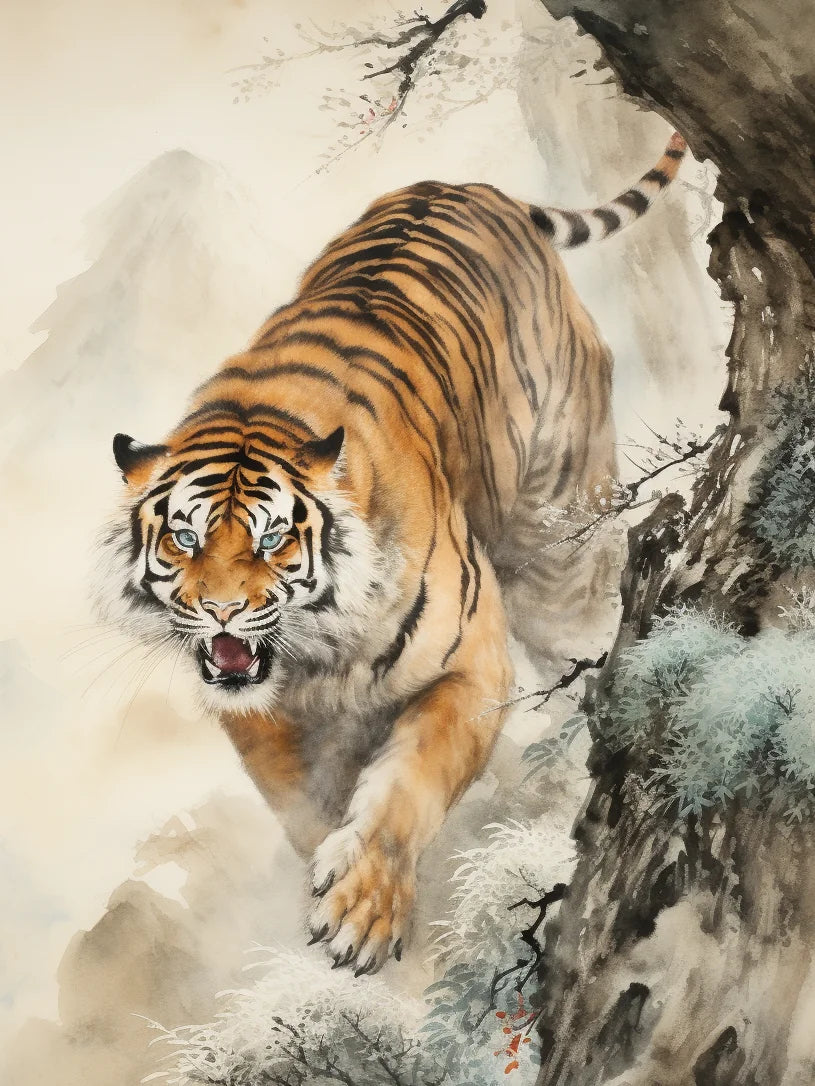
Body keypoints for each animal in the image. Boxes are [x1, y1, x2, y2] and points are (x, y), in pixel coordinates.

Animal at [99, 132, 687, 975]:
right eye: (184, 537)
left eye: (273, 538)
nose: (220, 613)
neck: (318, 657)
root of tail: (469, 186)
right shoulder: (260, 718)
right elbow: (304, 802)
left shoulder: (473, 666)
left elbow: (408, 782)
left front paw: (363, 908)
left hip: (558, 551)